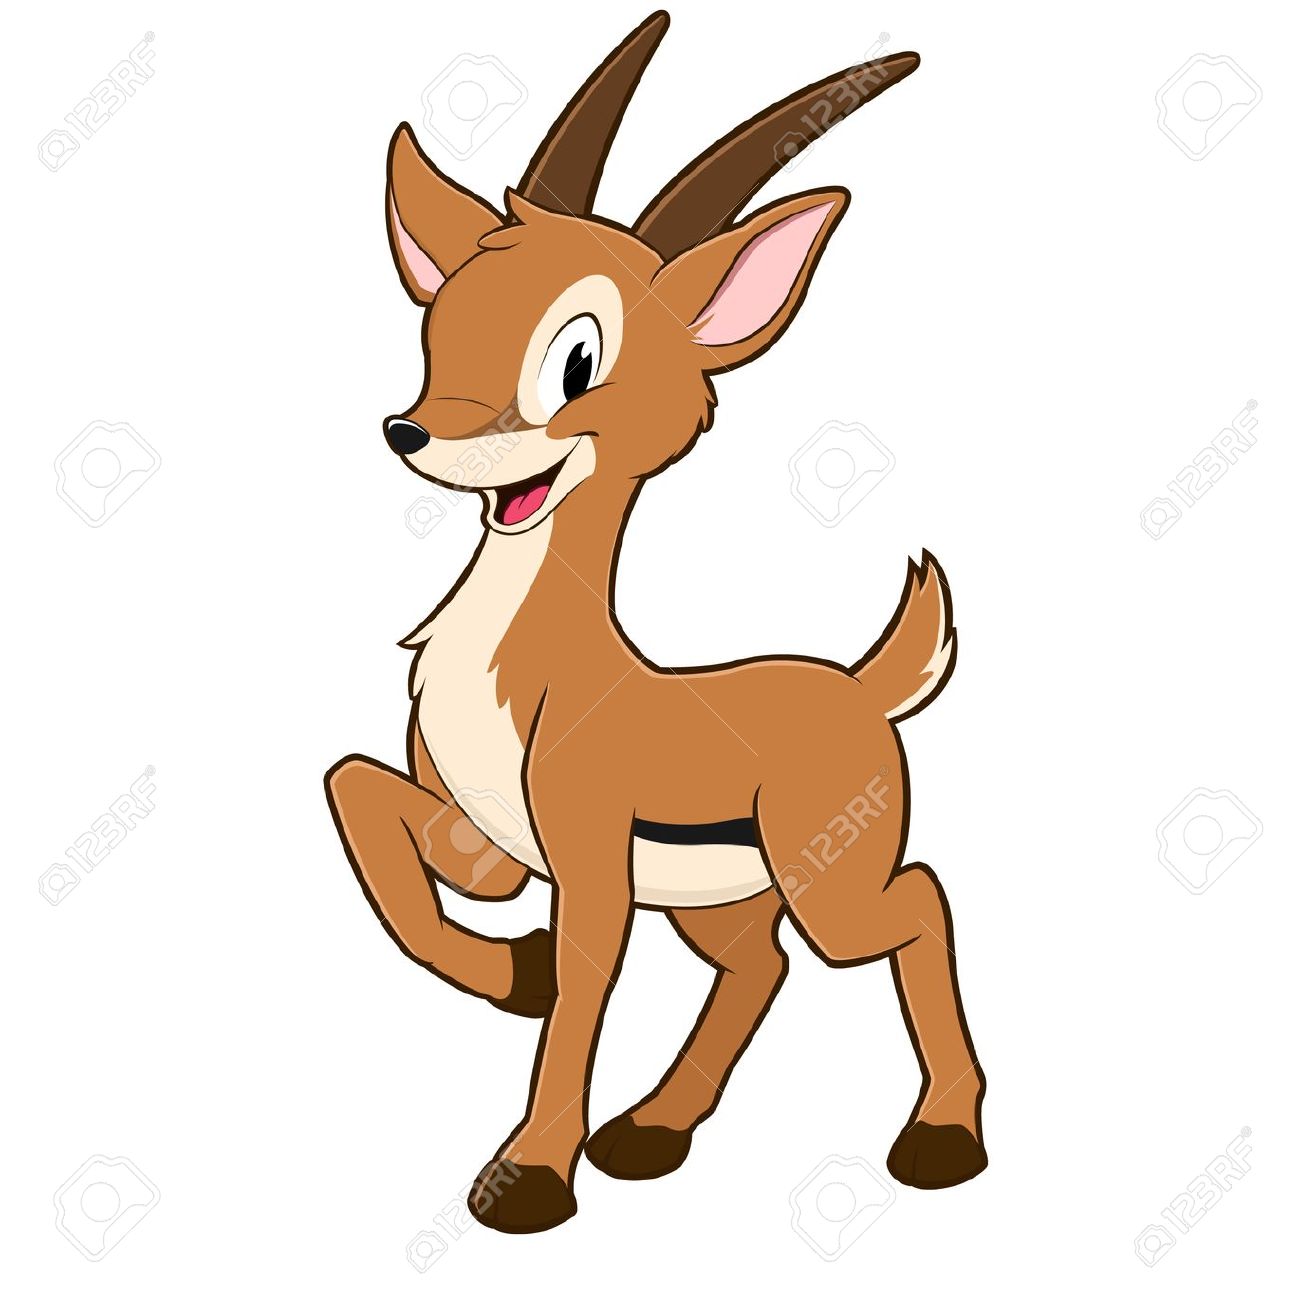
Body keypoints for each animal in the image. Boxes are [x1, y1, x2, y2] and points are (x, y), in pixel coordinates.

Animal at [326, 11, 986, 1234]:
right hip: (720, 899)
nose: (411, 432)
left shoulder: (589, 860)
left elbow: (584, 993)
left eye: (577, 359)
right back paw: (652, 1130)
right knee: (763, 965)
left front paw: (527, 1176)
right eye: (438, 326)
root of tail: (858, 684)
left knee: (915, 903)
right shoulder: (492, 838)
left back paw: (941, 1139)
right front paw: (513, 972)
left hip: (826, 880)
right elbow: (365, 805)